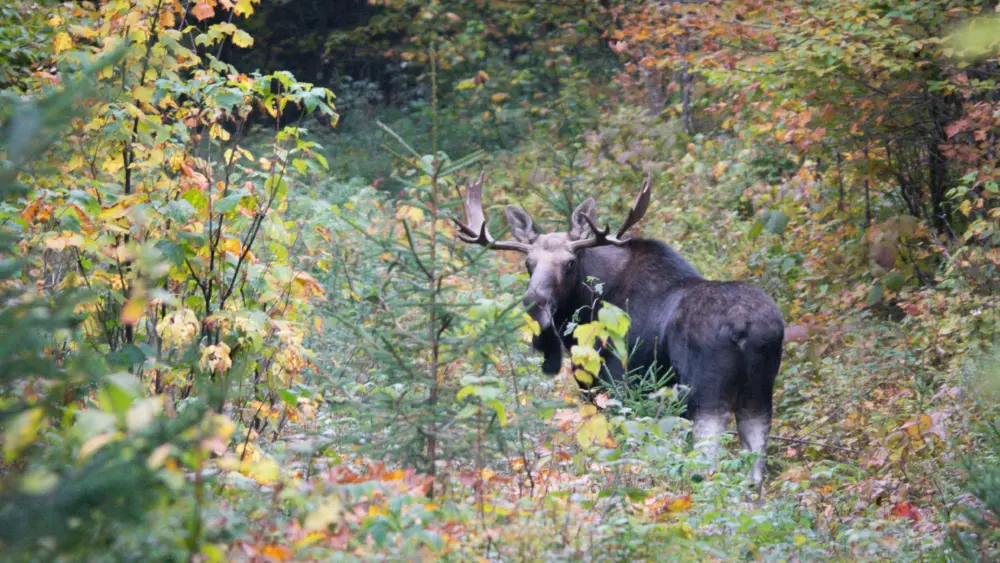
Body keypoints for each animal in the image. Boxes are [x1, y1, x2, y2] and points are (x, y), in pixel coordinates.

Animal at [454, 172, 785, 488]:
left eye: (570, 262)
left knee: (707, 466)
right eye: (528, 262)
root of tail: (746, 329)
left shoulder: (613, 384)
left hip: (706, 392)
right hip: (758, 394)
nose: (535, 307)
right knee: (755, 473)